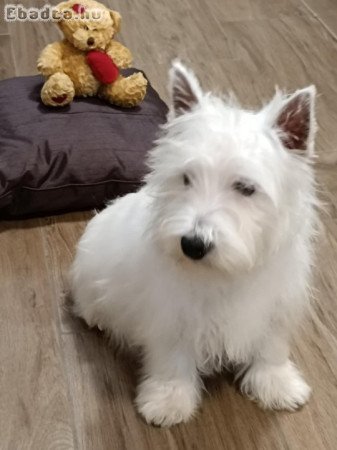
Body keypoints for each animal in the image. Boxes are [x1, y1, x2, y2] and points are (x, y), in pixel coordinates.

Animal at [69, 61, 316, 428]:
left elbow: (270, 348)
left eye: (246, 188)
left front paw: (277, 384)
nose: (193, 245)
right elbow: (172, 359)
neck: (226, 274)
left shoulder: (275, 305)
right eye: (186, 178)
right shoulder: (171, 314)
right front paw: (168, 400)